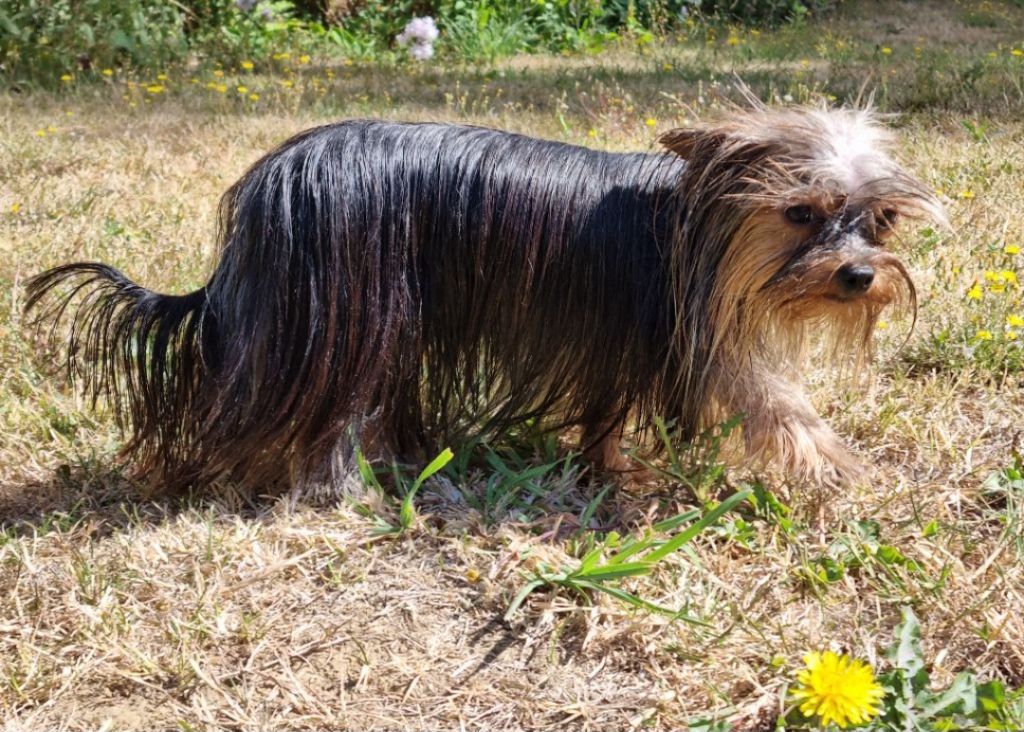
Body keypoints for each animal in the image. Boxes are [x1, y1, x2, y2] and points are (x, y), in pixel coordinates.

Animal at [24, 102, 937, 495]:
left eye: (883, 218)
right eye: (800, 212)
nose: (860, 277)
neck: (693, 228)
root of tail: (268, 190)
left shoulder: (623, 343)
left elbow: (607, 419)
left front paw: (607, 467)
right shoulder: (696, 331)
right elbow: (778, 403)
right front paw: (837, 467)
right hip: (346, 313)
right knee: (326, 417)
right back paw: (342, 490)